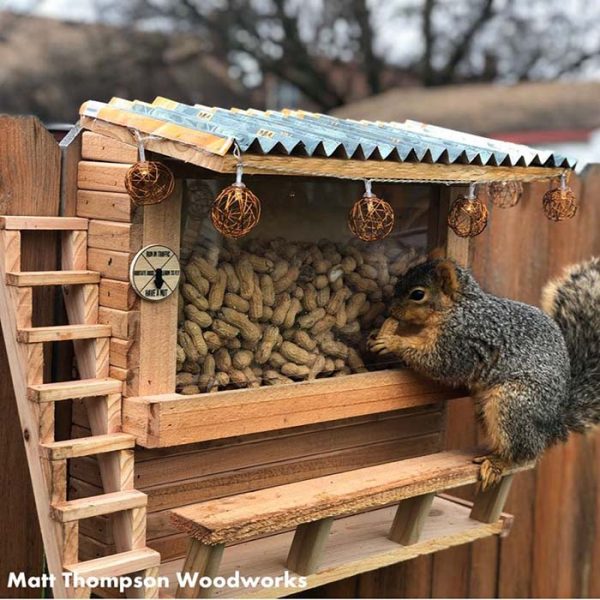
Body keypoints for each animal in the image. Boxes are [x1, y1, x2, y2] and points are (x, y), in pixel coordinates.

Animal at [370, 251, 600, 490]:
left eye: (417, 294)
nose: (390, 310)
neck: (459, 308)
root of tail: (555, 424)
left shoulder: (460, 342)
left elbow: (438, 362)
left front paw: (392, 341)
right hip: (486, 406)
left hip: (513, 403)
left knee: (525, 453)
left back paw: (498, 463)